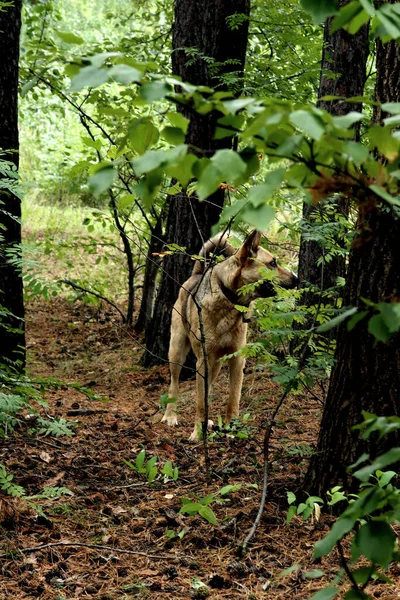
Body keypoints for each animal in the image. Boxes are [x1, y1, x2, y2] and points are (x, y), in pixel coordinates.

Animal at [162, 230, 296, 440]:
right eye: (272, 263)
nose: (297, 279)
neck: (230, 300)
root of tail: (196, 274)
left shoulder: (238, 360)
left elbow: (233, 400)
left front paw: (230, 430)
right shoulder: (203, 361)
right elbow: (200, 404)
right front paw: (197, 433)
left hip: (215, 365)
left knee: (207, 388)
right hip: (177, 351)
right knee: (174, 384)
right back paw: (170, 416)